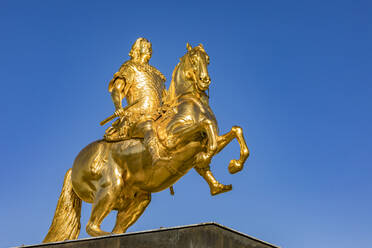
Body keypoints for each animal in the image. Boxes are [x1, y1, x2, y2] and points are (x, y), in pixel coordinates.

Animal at [43, 42, 250, 242]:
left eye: (207, 59)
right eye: (193, 59)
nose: (205, 80)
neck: (190, 105)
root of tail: (73, 167)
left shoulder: (212, 138)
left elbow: (234, 131)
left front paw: (233, 166)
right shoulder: (171, 140)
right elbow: (206, 127)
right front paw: (206, 158)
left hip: (138, 199)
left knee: (116, 227)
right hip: (110, 187)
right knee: (92, 226)